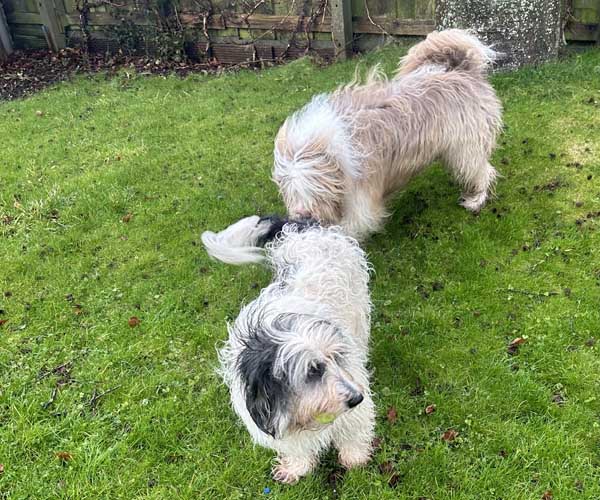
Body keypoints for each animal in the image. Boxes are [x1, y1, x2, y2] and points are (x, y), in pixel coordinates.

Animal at [201, 216, 374, 483]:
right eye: (312, 370)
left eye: (336, 357)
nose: (357, 397)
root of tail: (303, 226)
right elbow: (297, 449)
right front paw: (297, 467)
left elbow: (353, 429)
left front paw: (354, 457)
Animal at [272, 29, 503, 239]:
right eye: (290, 190)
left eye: (317, 190)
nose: (304, 215)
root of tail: (464, 70)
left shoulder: (361, 198)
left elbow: (353, 225)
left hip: (466, 148)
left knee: (482, 170)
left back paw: (476, 199)